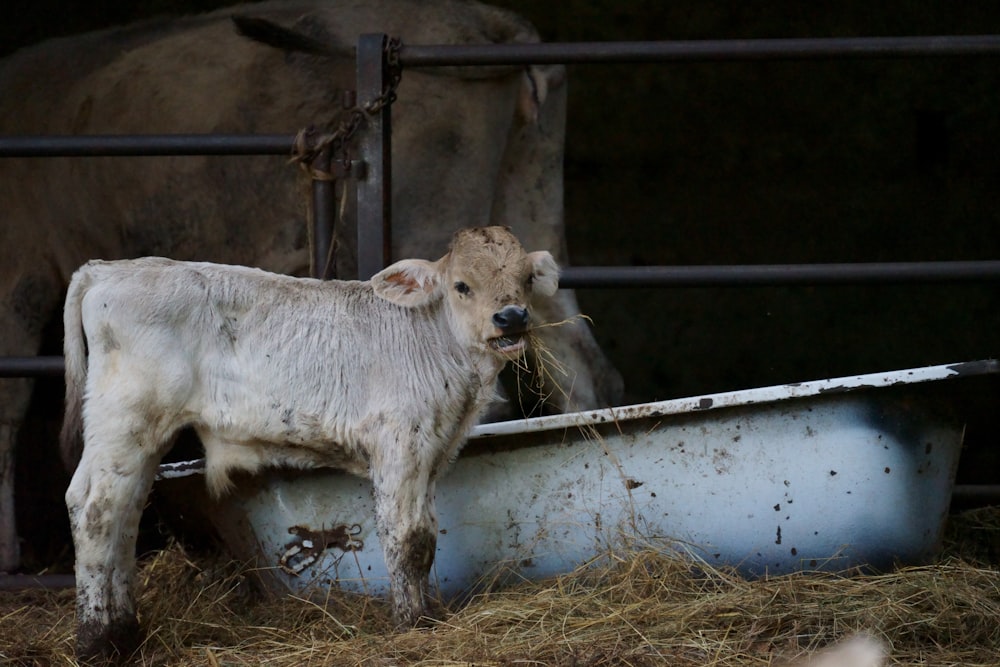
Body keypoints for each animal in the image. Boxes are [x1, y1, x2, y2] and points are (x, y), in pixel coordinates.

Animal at [63, 226, 564, 664]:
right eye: (461, 285)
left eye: (525, 279)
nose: (511, 317)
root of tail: (107, 270)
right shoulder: (398, 447)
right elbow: (407, 538)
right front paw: (412, 623)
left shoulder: (431, 455)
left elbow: (425, 536)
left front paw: (424, 615)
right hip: (125, 419)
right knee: (94, 511)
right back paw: (96, 641)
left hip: (137, 439)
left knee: (123, 515)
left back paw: (125, 629)